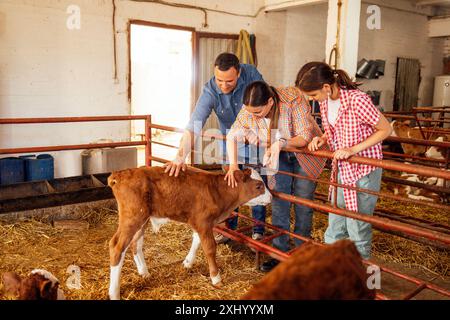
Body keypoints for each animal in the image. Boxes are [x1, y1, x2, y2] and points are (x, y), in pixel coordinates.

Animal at [108, 165, 270, 300]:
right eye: (258, 186)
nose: (270, 197)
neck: (218, 192)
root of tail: (120, 174)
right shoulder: (204, 222)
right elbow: (210, 248)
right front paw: (216, 278)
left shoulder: (199, 222)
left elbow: (196, 240)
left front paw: (187, 262)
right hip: (132, 218)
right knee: (117, 247)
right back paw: (114, 293)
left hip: (142, 219)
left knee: (136, 243)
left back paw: (144, 272)